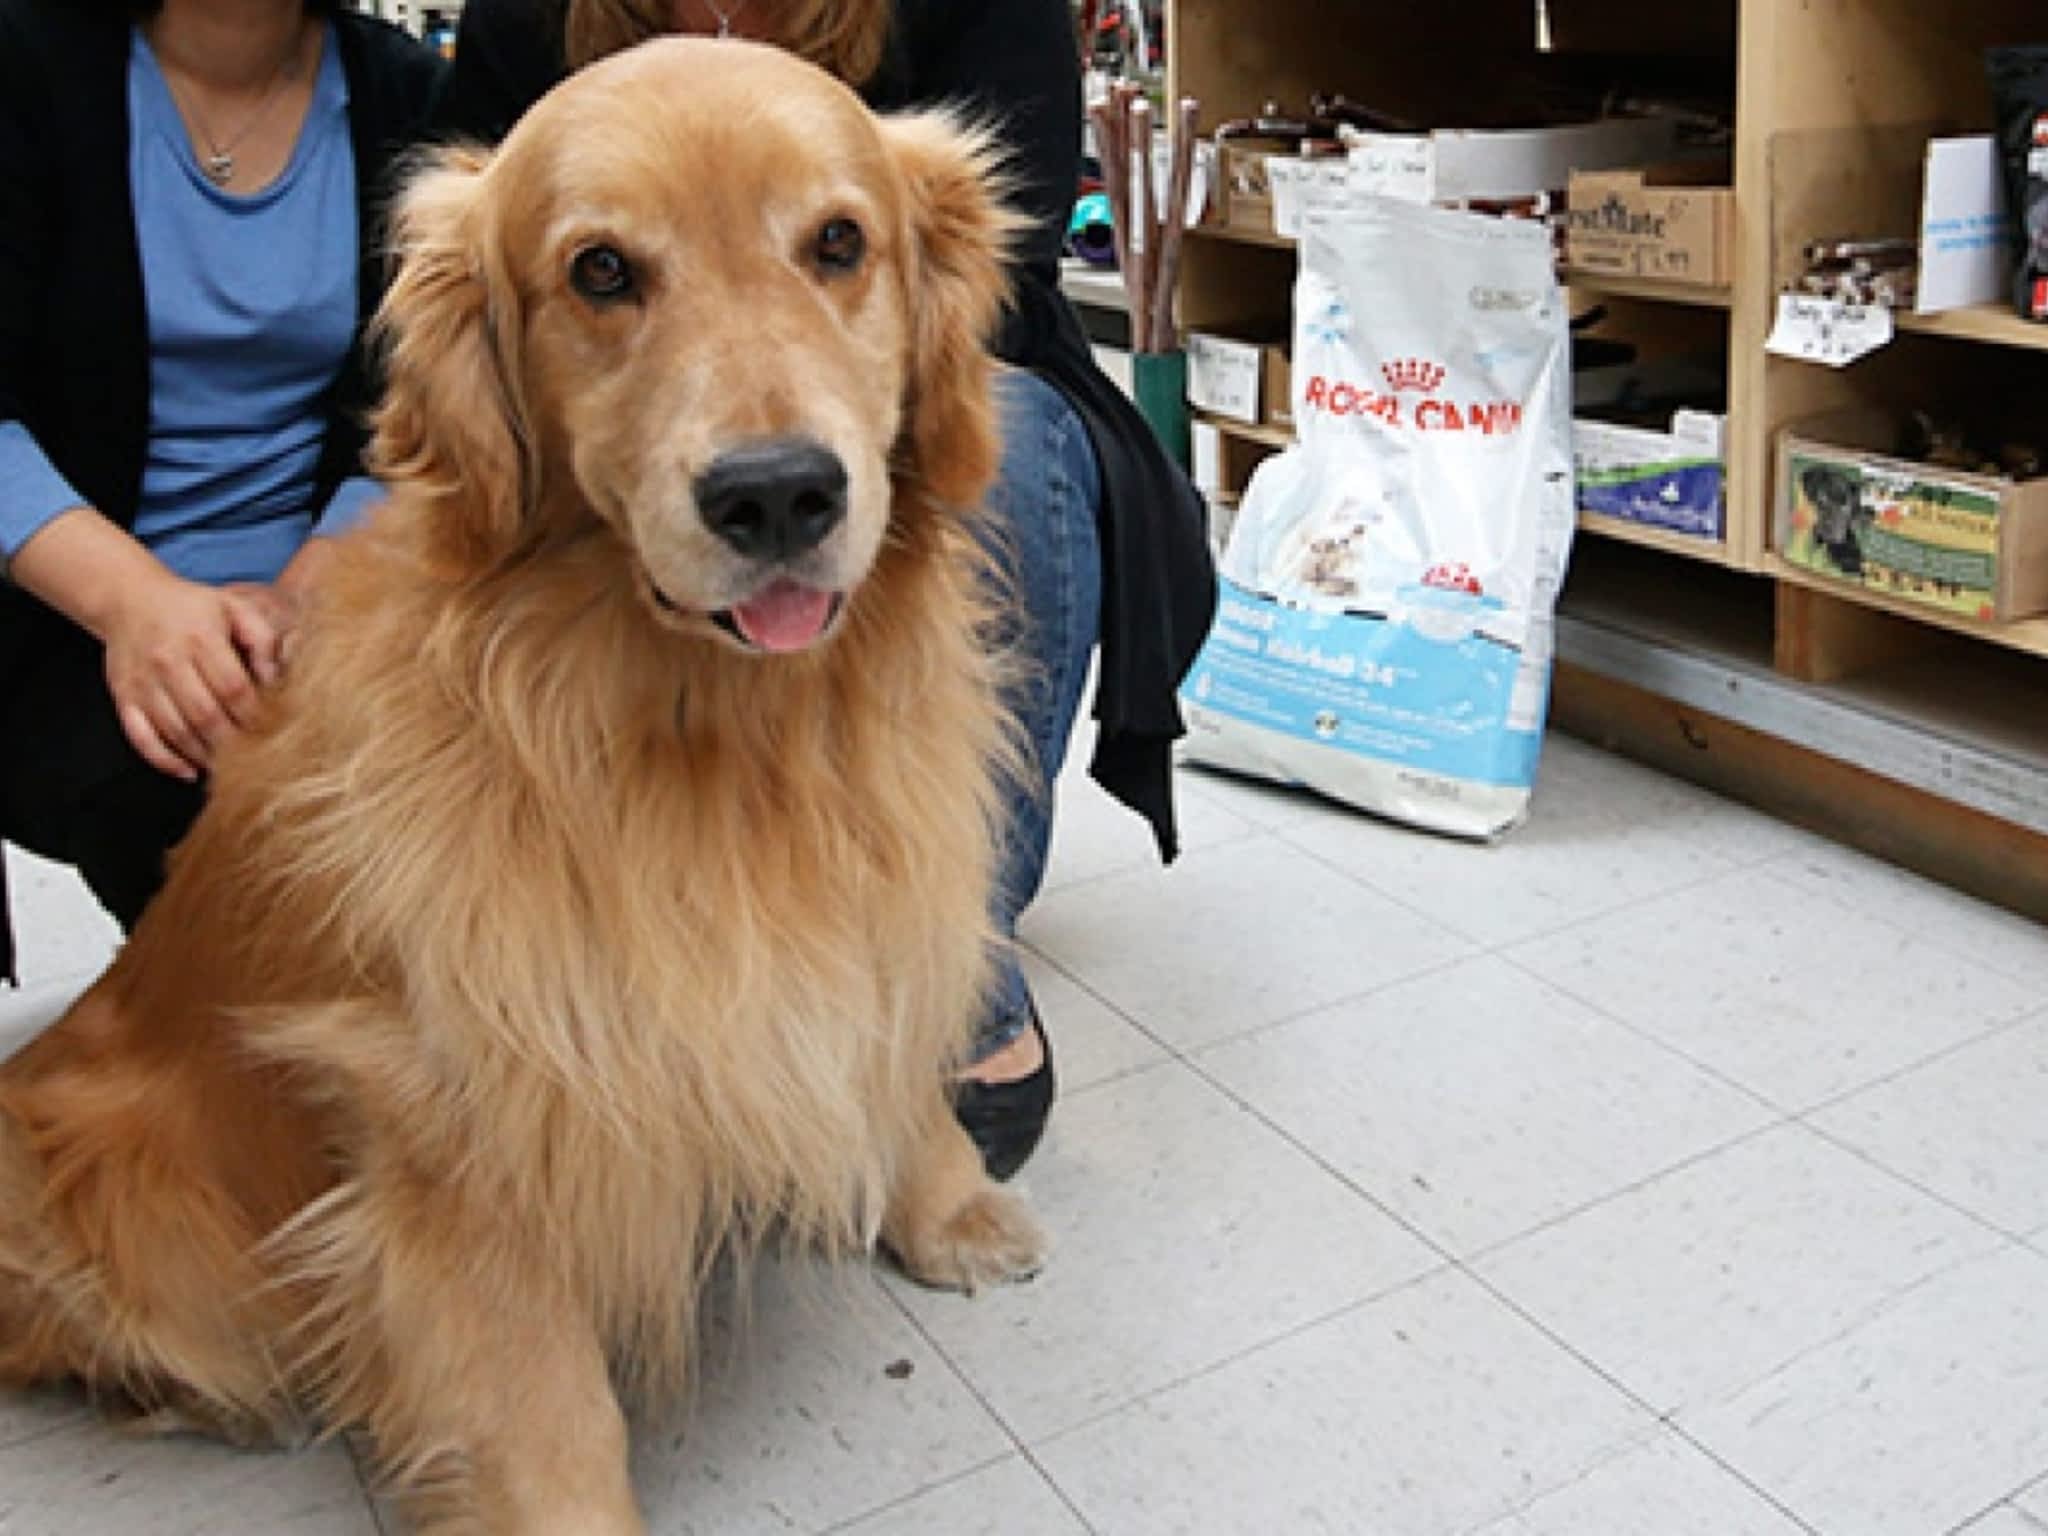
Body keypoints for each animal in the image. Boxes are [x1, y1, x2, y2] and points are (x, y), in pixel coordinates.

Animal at [0, 39, 1048, 1536]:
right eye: (600, 271)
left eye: (840, 243)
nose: (777, 495)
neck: (721, 730)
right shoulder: (457, 1114)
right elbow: (540, 1403)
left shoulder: (876, 894)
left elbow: (893, 1056)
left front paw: (947, 1204)